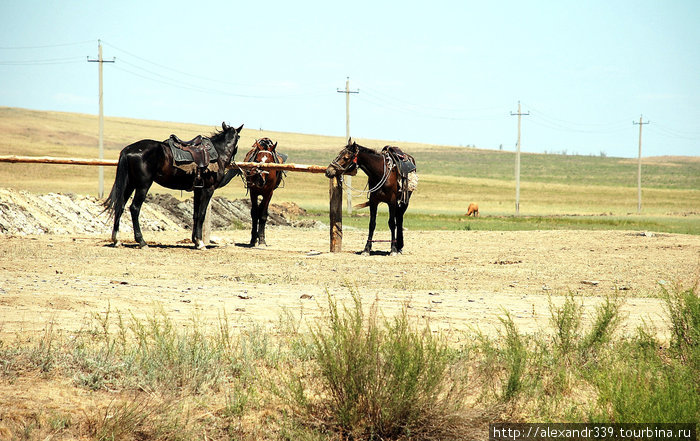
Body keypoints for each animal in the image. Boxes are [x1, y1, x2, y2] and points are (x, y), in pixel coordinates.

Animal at [102, 122, 245, 249]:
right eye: (238, 137)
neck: (218, 153)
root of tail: (128, 149)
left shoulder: (198, 190)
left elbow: (195, 214)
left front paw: (195, 241)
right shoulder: (208, 190)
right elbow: (202, 214)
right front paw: (200, 243)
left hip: (130, 184)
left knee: (120, 206)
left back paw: (117, 240)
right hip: (143, 185)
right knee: (134, 208)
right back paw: (142, 242)